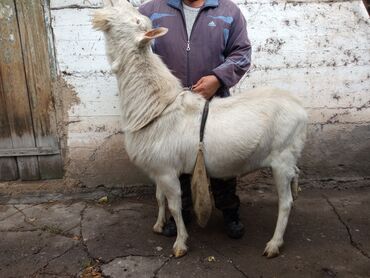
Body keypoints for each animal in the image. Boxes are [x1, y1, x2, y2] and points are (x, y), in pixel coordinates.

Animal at [92, 0, 306, 260]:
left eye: (137, 21)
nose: (115, 3)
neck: (157, 105)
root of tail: (300, 107)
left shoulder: (167, 171)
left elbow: (175, 205)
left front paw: (180, 243)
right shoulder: (158, 167)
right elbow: (159, 198)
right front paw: (160, 225)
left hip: (282, 157)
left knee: (285, 203)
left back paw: (274, 244)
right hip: (289, 156)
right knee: (295, 176)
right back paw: (295, 191)